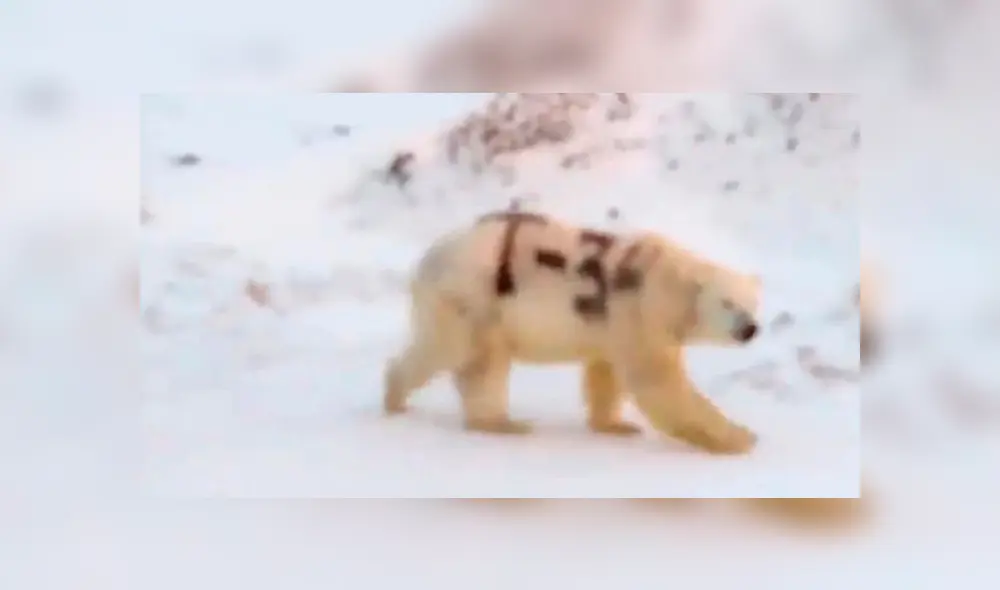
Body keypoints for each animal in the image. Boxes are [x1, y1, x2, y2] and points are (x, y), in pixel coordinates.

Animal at [383, 209, 762, 455]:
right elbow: (659, 381)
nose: (750, 328)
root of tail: (428, 258)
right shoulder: (639, 311)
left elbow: (605, 373)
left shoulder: (613, 324)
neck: (668, 283)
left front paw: (616, 426)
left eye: (754, 303)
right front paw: (740, 438)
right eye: (728, 303)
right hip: (472, 296)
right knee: (458, 352)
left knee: (478, 361)